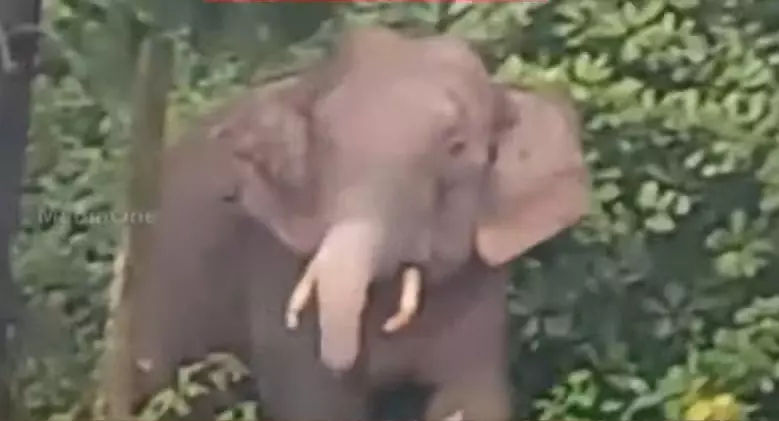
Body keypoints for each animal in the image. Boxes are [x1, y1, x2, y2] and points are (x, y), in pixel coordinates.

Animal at [128, 27, 590, 421]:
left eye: (456, 148)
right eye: (323, 140)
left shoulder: (481, 285)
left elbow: (470, 396)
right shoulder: (272, 262)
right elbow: (313, 399)